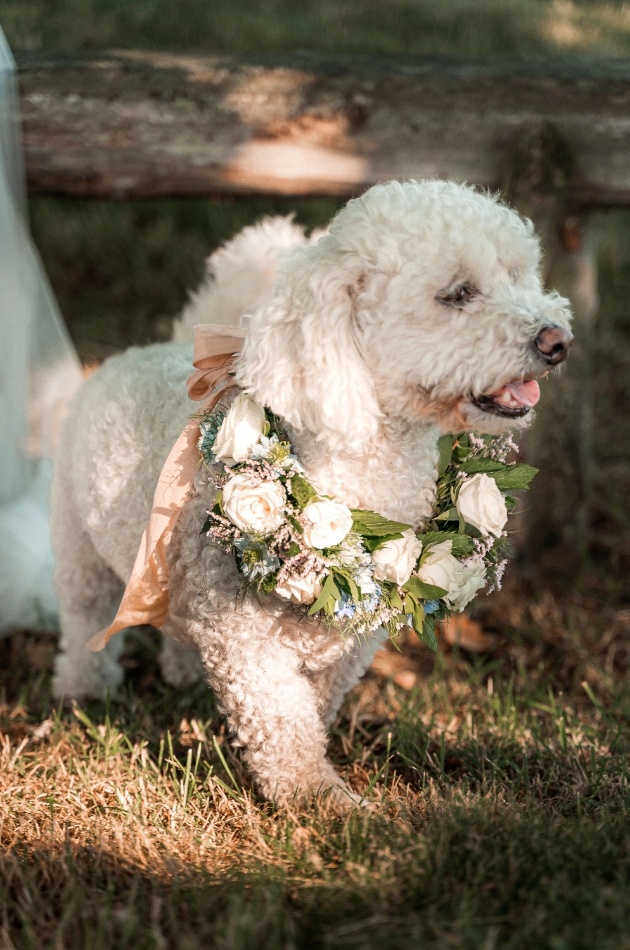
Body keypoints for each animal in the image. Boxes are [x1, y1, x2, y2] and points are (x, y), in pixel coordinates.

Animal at [50, 178, 572, 804]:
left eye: (520, 276)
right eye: (458, 294)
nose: (558, 340)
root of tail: (148, 349)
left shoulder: (349, 645)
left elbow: (315, 710)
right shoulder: (250, 647)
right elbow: (284, 725)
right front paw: (319, 800)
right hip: (82, 552)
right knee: (84, 617)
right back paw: (84, 689)